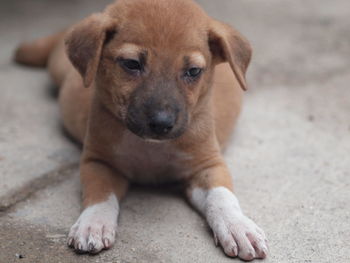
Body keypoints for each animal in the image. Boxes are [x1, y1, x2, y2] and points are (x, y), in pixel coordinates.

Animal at [15, 0, 266, 260]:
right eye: (132, 64)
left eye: (194, 71)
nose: (162, 123)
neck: (150, 148)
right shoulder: (98, 162)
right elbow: (100, 194)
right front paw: (93, 224)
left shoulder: (208, 165)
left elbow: (222, 196)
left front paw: (237, 226)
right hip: (58, 68)